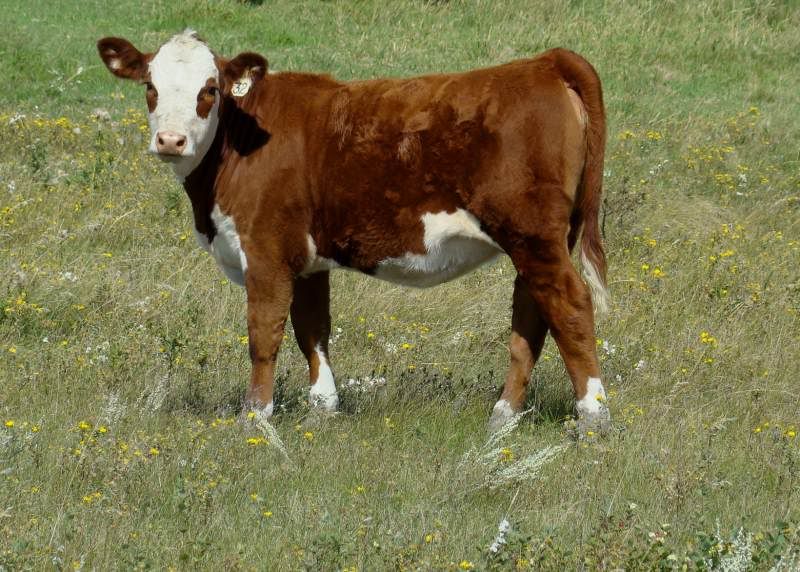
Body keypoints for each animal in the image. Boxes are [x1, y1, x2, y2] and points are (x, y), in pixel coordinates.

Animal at [97, 29, 611, 433]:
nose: (170, 140)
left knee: (569, 304)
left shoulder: (265, 249)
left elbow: (264, 334)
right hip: (541, 240)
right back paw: (504, 416)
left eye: (209, 90)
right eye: (150, 86)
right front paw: (323, 408)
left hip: (532, 235)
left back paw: (593, 416)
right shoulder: (304, 258)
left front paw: (255, 417)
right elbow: (312, 329)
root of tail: (543, 62)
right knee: (532, 314)